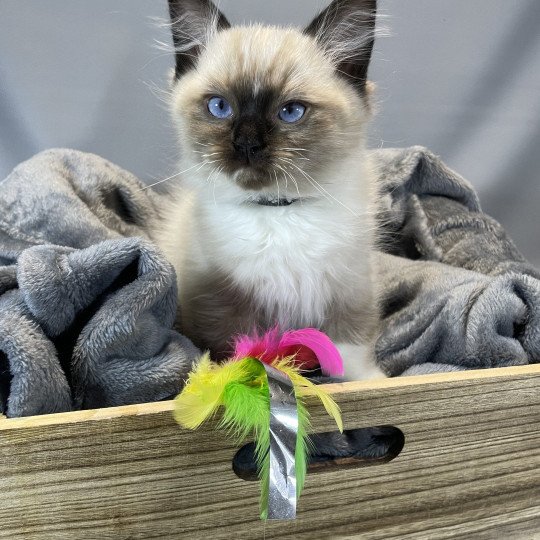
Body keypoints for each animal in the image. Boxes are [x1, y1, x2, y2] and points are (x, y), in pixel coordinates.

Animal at [154, 0, 386, 380]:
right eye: (220, 107)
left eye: (290, 112)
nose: (246, 143)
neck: (279, 209)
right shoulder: (221, 299)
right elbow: (237, 351)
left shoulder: (348, 287)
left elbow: (350, 353)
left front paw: (370, 382)